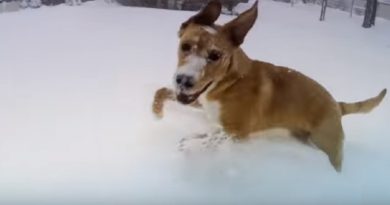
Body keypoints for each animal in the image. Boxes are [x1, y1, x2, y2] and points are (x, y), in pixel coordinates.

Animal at [152, 0, 384, 171]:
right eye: (185, 46)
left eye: (215, 56)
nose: (184, 80)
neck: (231, 81)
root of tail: (337, 104)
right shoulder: (203, 104)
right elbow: (162, 92)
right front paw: (157, 114)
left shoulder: (238, 132)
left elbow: (209, 139)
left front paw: (191, 146)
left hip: (329, 148)